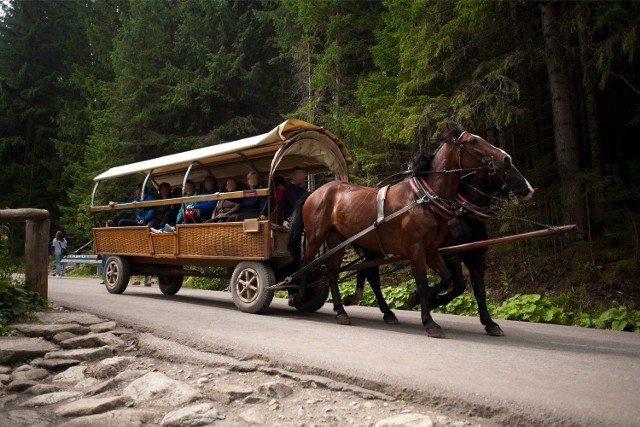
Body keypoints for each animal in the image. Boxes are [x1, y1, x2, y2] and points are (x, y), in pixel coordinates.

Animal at [288, 122, 520, 340]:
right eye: (473, 141)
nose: (506, 158)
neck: (424, 199)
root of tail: (314, 192)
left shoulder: (433, 250)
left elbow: (447, 280)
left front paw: (419, 300)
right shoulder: (417, 250)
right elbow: (424, 283)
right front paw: (429, 321)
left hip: (340, 240)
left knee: (333, 272)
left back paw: (343, 311)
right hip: (315, 236)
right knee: (306, 265)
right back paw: (299, 296)